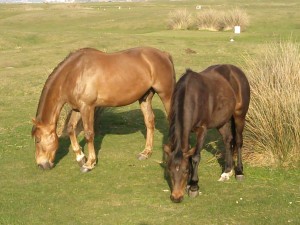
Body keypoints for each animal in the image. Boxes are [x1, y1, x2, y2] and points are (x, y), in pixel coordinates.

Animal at [31, 46, 176, 171]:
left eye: (37, 140)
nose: (41, 165)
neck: (74, 72)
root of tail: (164, 54)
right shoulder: (78, 108)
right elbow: (71, 128)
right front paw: (80, 157)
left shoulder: (87, 107)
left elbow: (89, 134)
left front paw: (89, 163)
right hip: (145, 98)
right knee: (149, 121)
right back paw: (146, 153)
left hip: (166, 95)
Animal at [163, 64, 250, 203]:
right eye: (170, 170)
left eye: (185, 171)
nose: (176, 197)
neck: (192, 98)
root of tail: (237, 71)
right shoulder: (188, 131)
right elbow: (189, 154)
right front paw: (189, 184)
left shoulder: (202, 130)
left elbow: (195, 157)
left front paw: (194, 186)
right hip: (222, 121)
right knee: (228, 140)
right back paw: (227, 171)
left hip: (239, 116)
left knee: (238, 141)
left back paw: (239, 171)